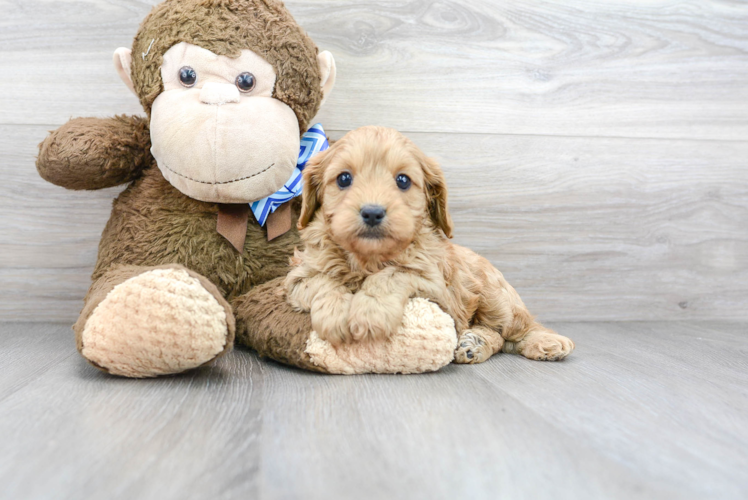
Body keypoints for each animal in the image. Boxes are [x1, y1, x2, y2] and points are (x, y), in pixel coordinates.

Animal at [284, 125, 576, 364]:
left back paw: (547, 342)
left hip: (496, 297)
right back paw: (473, 345)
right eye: (344, 178)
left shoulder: (438, 289)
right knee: (497, 335)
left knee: (515, 331)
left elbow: (393, 274)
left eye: (402, 180)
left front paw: (370, 313)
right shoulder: (297, 277)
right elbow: (323, 281)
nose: (372, 213)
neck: (368, 258)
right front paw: (336, 316)